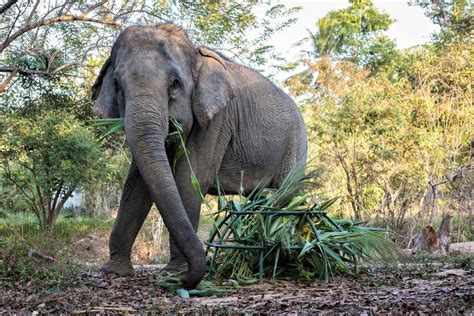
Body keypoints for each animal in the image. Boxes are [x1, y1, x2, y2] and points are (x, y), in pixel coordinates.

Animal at [92, 22, 308, 288]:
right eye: (117, 86)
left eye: (175, 83)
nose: (185, 280)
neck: (196, 55)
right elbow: (137, 185)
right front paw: (114, 272)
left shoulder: (218, 120)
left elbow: (190, 179)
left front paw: (174, 273)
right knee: (261, 198)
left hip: (296, 144)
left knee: (288, 194)